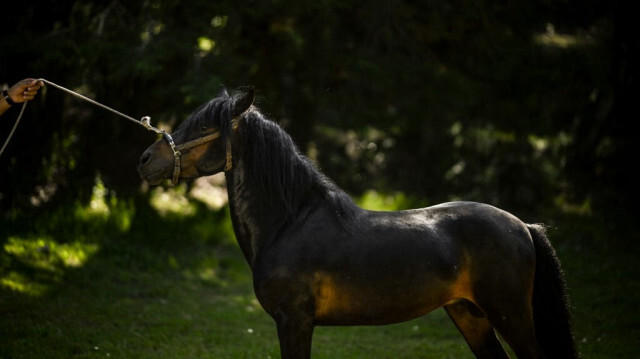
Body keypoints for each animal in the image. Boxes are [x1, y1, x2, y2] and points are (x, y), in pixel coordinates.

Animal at [138, 88, 576, 359]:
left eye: (203, 126)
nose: (146, 160)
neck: (289, 224)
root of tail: (524, 227)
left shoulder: (294, 321)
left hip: (510, 315)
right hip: (470, 314)